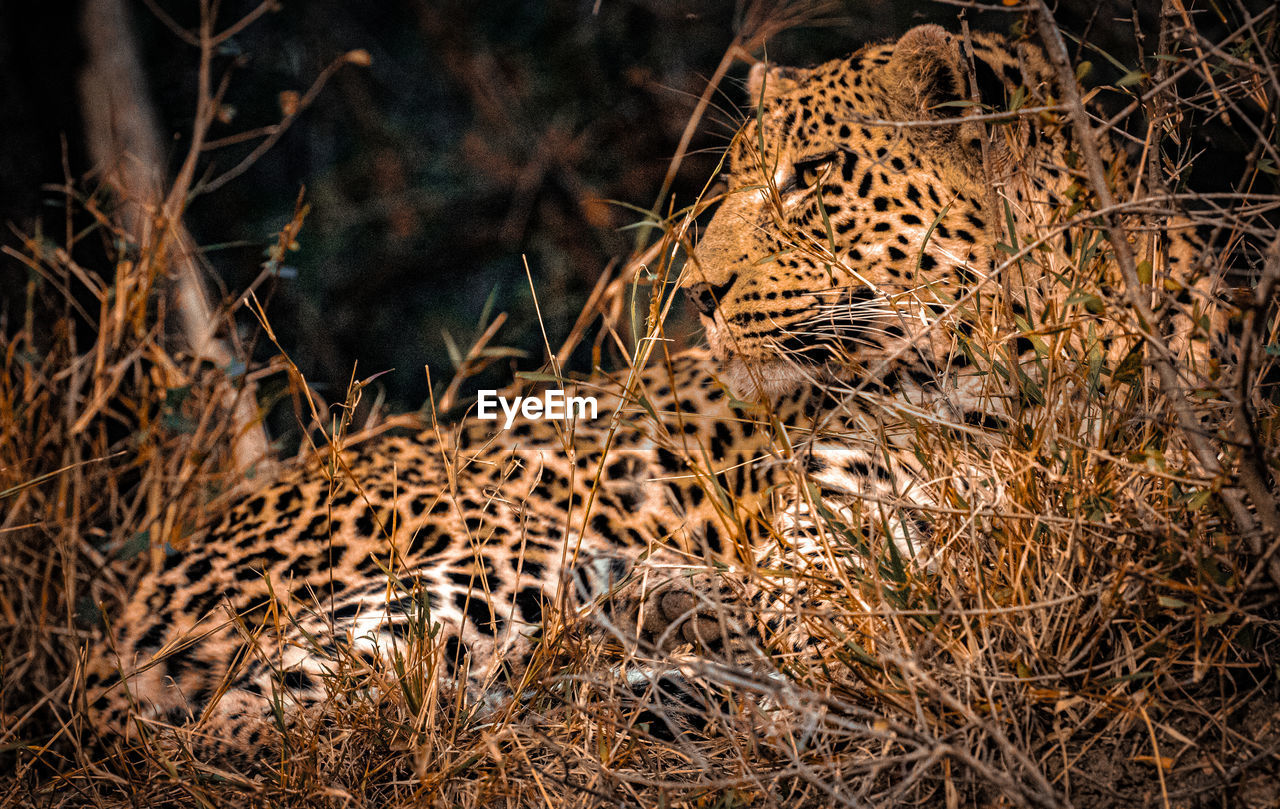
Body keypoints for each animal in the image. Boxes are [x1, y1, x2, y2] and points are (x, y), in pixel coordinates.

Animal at [82, 22, 1239, 762]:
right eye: (734, 172)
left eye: (812, 175)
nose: (699, 291)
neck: (1014, 379)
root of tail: (108, 644)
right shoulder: (815, 552)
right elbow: (835, 626)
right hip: (509, 549)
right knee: (285, 714)